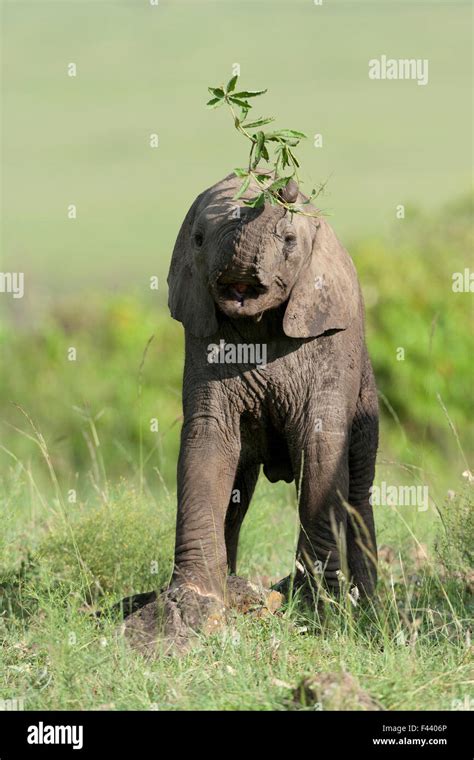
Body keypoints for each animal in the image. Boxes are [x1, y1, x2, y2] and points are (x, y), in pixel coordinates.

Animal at [167, 172, 378, 628]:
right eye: (198, 238)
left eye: (289, 240)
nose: (283, 185)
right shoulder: (204, 337)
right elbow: (208, 442)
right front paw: (193, 604)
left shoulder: (327, 342)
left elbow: (320, 450)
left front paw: (320, 607)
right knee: (237, 497)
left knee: (358, 488)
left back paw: (370, 607)